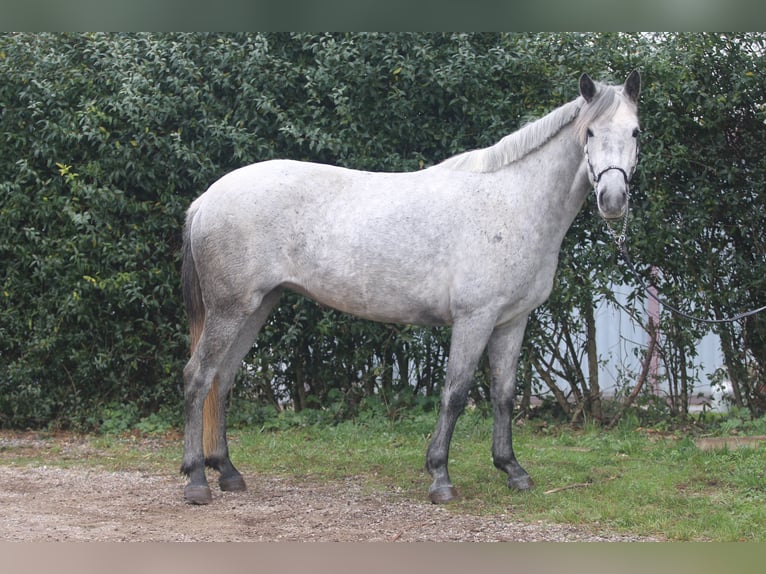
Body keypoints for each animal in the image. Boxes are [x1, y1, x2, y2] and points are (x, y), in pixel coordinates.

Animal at [180, 71, 640, 504]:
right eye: (590, 132)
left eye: (635, 132)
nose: (613, 200)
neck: (513, 201)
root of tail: (206, 200)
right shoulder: (475, 318)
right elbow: (455, 393)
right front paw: (440, 477)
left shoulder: (512, 321)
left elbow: (504, 394)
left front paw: (512, 470)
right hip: (230, 310)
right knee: (198, 376)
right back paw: (196, 480)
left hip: (257, 307)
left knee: (222, 378)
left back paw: (228, 472)